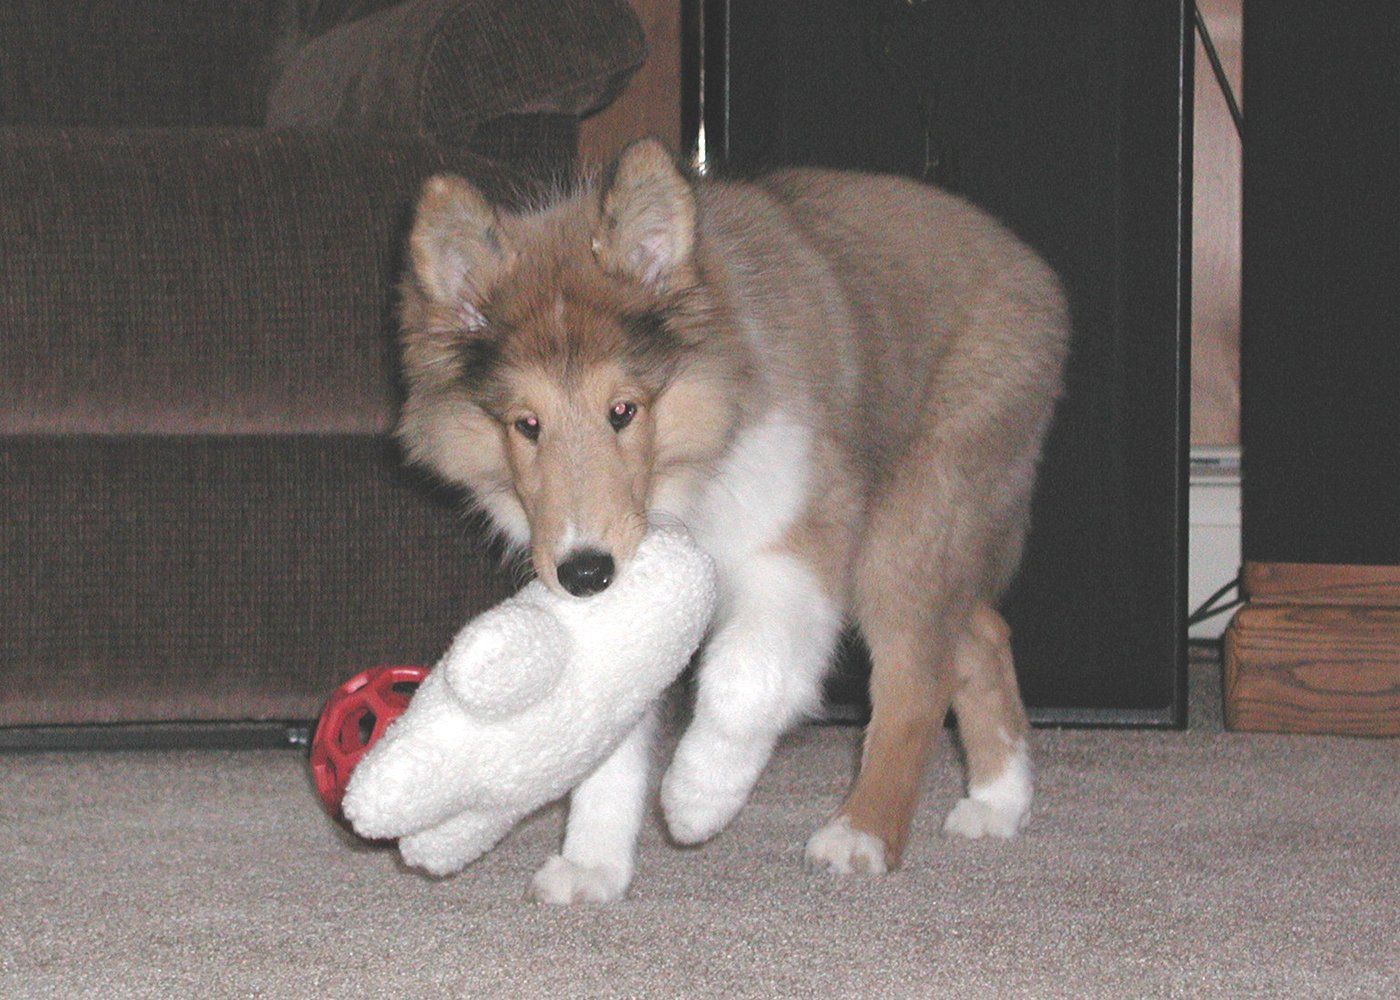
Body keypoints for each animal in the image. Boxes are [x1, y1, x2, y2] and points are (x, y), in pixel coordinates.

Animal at [395, 138, 1069, 903]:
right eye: (525, 424)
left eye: (623, 409)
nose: (586, 573)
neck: (683, 482)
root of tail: (1024, 262)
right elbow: (608, 728)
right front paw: (594, 863)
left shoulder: (796, 544)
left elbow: (747, 678)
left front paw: (697, 797)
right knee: (981, 634)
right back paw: (997, 801)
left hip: (918, 510)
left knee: (918, 674)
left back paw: (862, 832)